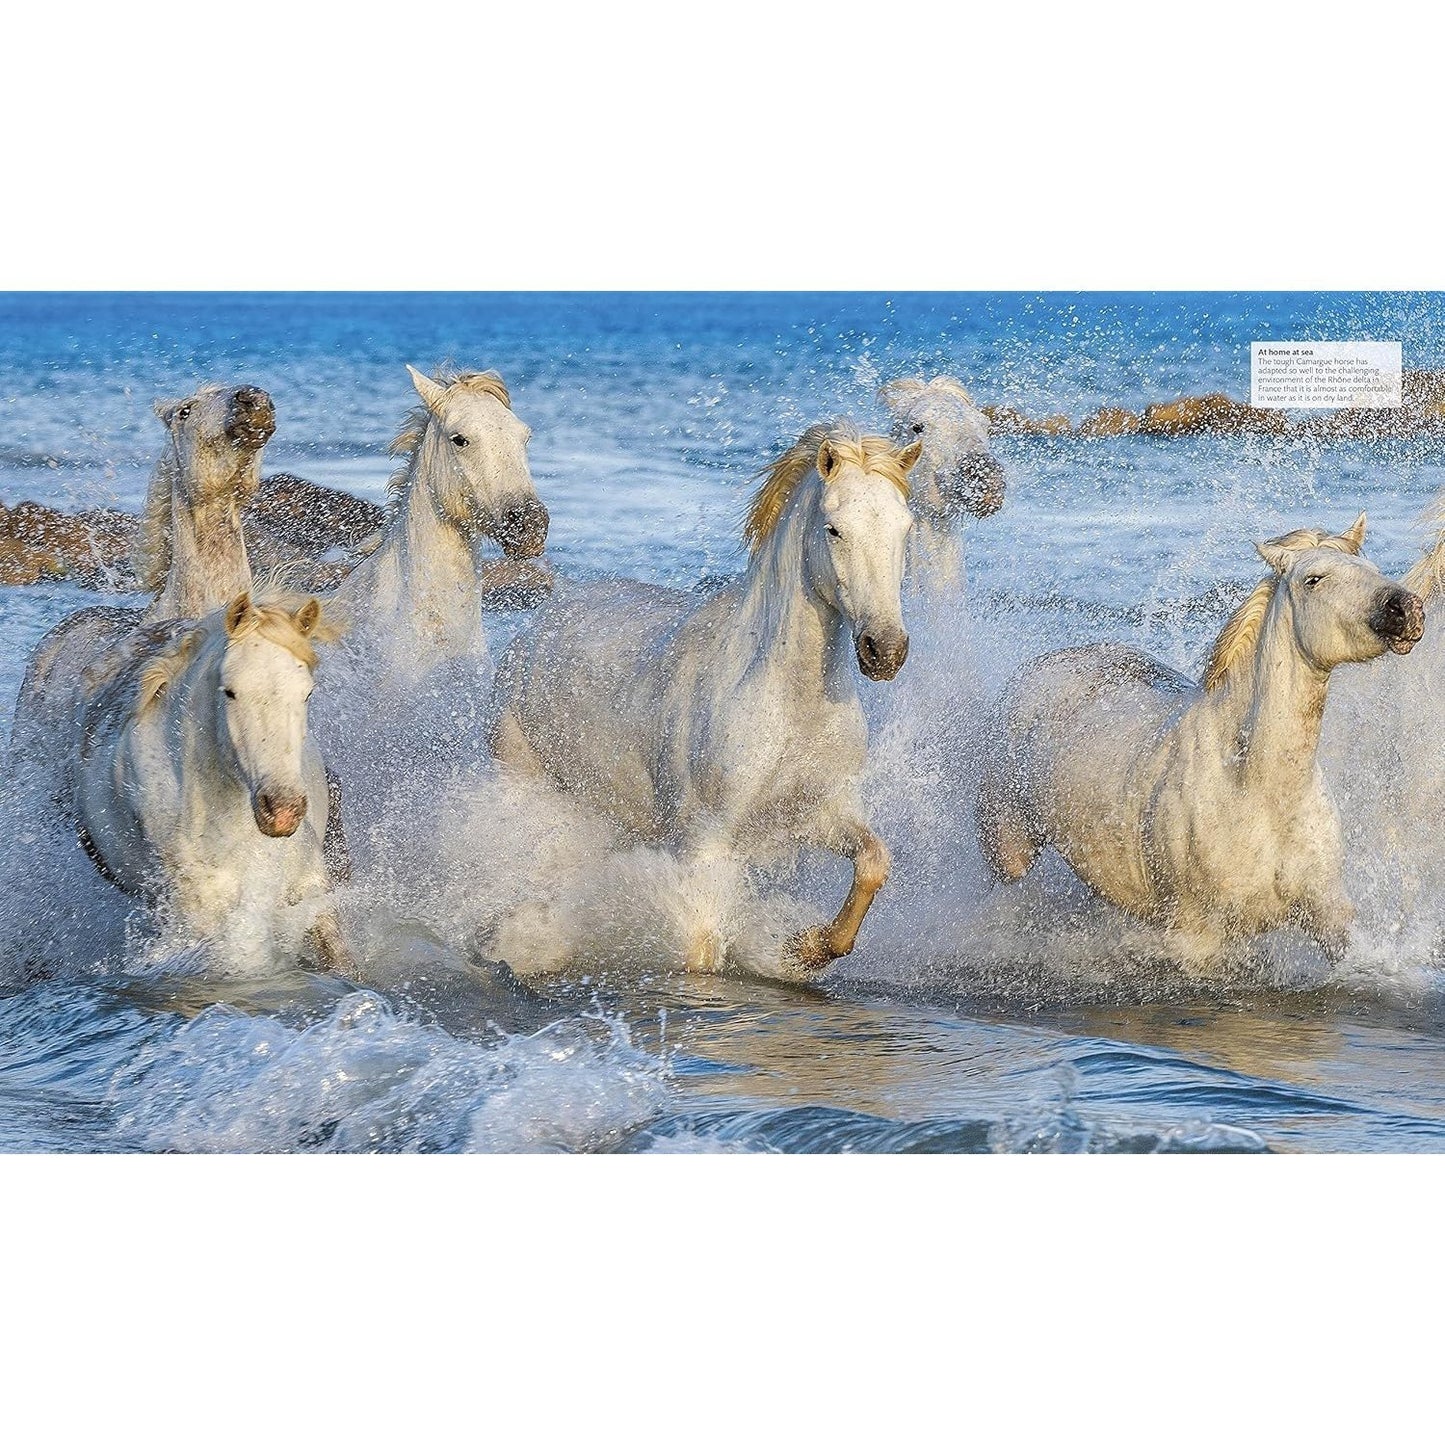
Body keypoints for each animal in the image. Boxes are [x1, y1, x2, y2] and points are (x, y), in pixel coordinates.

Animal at [490, 420, 922, 975]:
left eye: (905, 528)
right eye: (834, 529)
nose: (884, 650)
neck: (788, 703)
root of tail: (545, 617)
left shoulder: (819, 812)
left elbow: (872, 863)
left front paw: (805, 946)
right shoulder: (704, 842)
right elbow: (700, 946)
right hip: (526, 782)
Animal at [976, 515, 1425, 969]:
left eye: (1372, 569)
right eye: (1313, 579)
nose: (1407, 609)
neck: (1255, 787)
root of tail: (1040, 667)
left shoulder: (1328, 912)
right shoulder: (1197, 937)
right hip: (1009, 850)